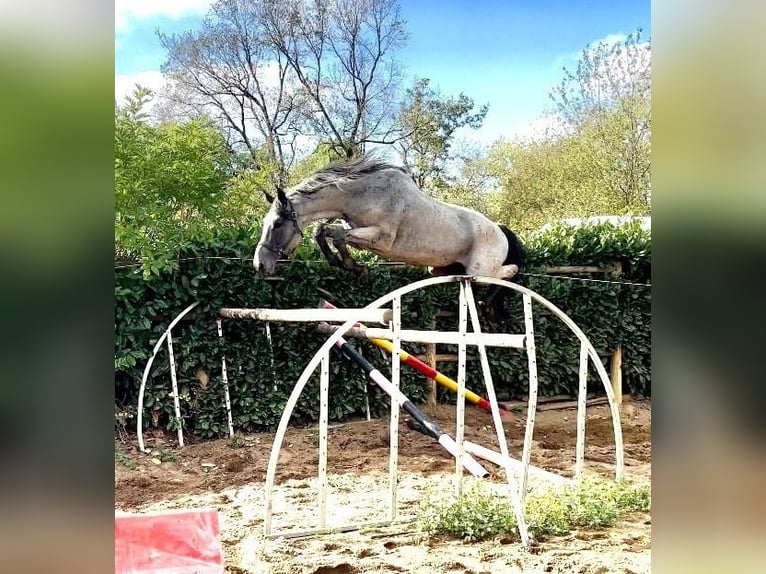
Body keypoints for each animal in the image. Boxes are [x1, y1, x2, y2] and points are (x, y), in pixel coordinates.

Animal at [255, 155, 524, 320]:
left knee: (509, 271)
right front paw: (344, 264)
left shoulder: (382, 240)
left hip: (481, 270)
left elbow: (337, 235)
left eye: (277, 224)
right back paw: (487, 306)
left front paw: (355, 267)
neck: (362, 195)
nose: (260, 265)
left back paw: (488, 305)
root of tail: (500, 229)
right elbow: (322, 231)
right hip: (441, 269)